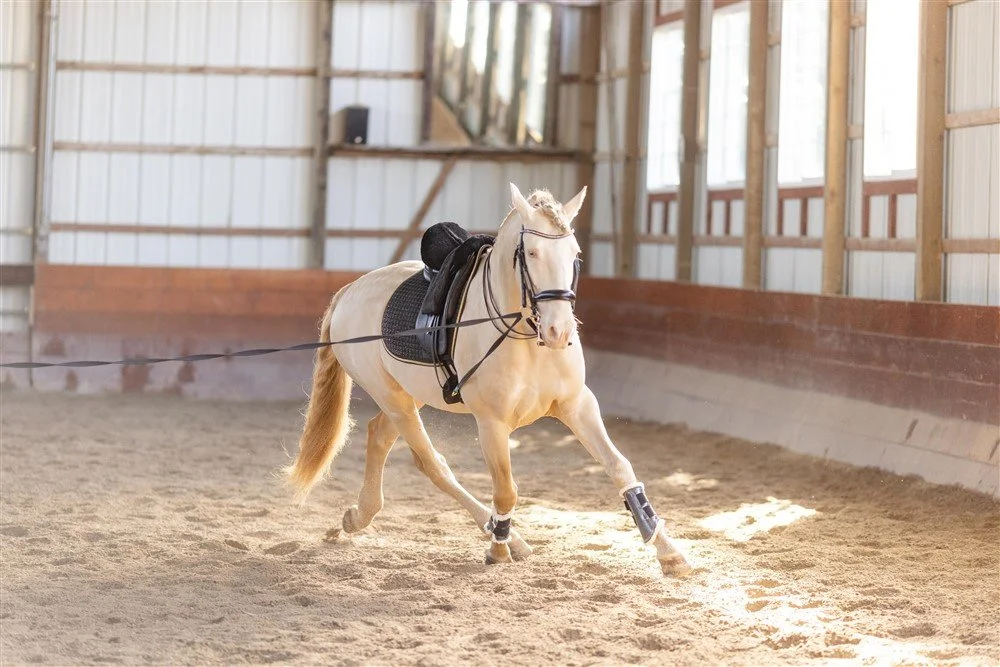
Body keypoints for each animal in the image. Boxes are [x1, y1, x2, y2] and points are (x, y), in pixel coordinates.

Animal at [285, 183, 692, 576]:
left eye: (575, 253)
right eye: (531, 253)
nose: (559, 331)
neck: (527, 338)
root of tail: (349, 292)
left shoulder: (577, 405)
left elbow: (620, 467)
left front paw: (669, 552)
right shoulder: (492, 424)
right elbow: (506, 490)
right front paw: (497, 549)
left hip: (409, 393)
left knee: (380, 435)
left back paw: (358, 516)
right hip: (392, 397)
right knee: (432, 463)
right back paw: (507, 538)